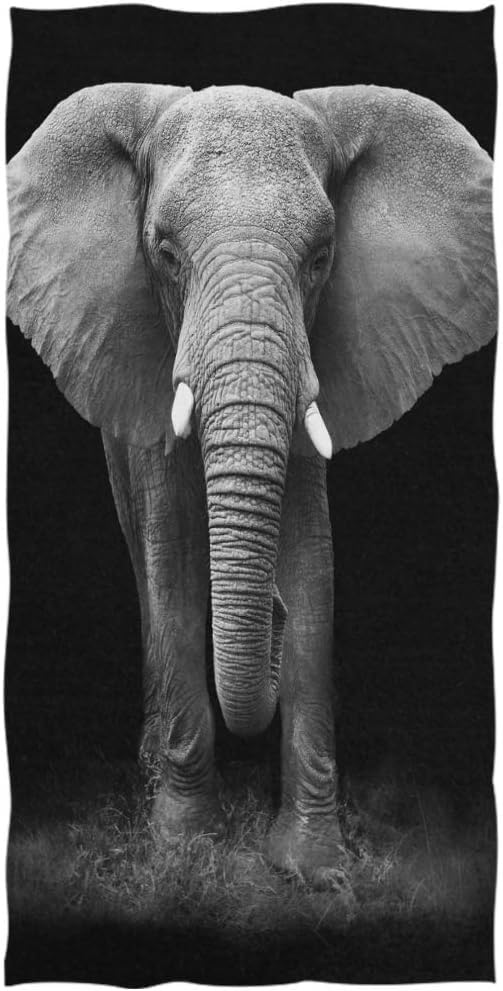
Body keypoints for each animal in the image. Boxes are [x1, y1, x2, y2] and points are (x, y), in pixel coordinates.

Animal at [7, 82, 496, 887]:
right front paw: (182, 849)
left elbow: (311, 563)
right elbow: (172, 560)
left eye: (321, 258)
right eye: (164, 253)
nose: (269, 612)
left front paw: (312, 869)